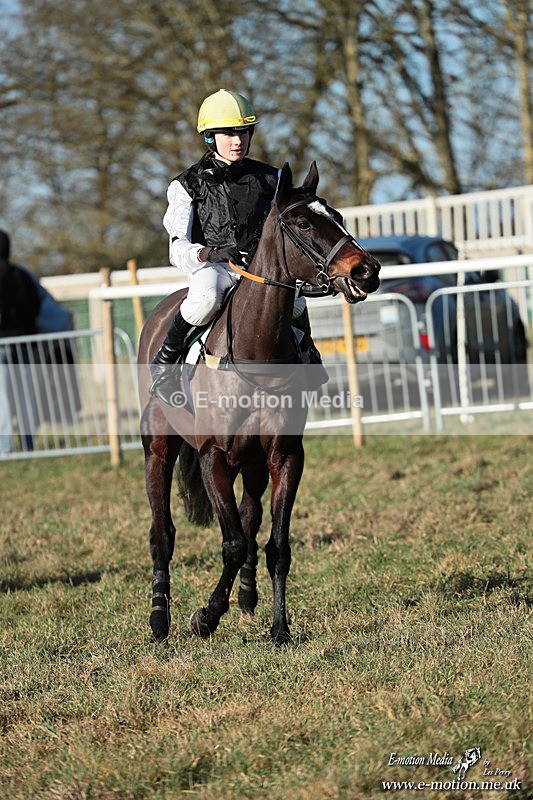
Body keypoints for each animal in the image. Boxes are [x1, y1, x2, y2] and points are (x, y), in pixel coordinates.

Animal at [137, 161, 380, 644]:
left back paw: (247, 599)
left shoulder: (284, 456)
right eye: (302, 222)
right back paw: (159, 619)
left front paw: (279, 626)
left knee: (250, 522)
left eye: (338, 215)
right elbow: (230, 544)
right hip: (159, 450)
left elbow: (275, 544)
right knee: (162, 534)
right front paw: (206, 616)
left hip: (251, 464)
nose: (366, 270)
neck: (255, 351)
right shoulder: (213, 457)